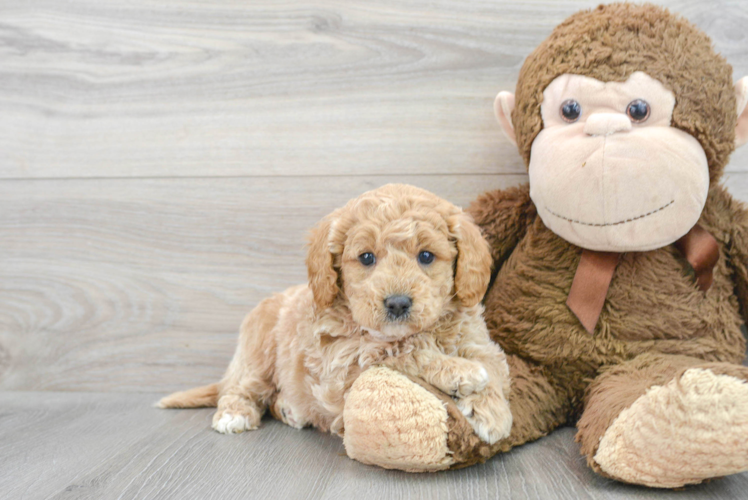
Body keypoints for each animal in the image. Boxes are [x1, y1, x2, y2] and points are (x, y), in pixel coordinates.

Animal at [161, 186, 516, 444]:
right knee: (241, 389)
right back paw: (234, 414)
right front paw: (460, 372)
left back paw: (289, 409)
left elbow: (493, 367)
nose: (397, 303)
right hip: (257, 354)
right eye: (367, 257)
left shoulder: (480, 342)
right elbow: (400, 350)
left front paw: (493, 410)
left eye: (426, 256)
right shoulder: (342, 366)